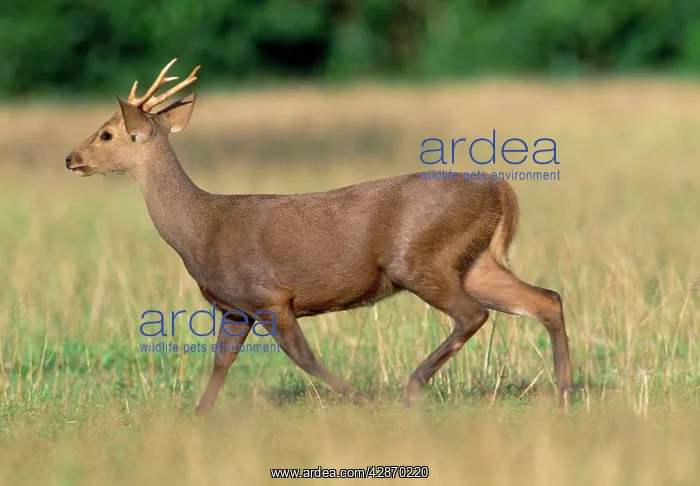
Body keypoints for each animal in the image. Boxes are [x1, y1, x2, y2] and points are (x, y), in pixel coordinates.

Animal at [65, 59, 573, 414]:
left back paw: (412, 388)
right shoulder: (234, 307)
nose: (71, 158)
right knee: (545, 298)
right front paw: (199, 415)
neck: (201, 230)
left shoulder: (270, 295)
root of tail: (500, 188)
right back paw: (565, 391)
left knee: (473, 314)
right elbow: (221, 362)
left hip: (419, 256)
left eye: (106, 133)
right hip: (475, 260)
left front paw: (361, 398)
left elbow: (301, 356)